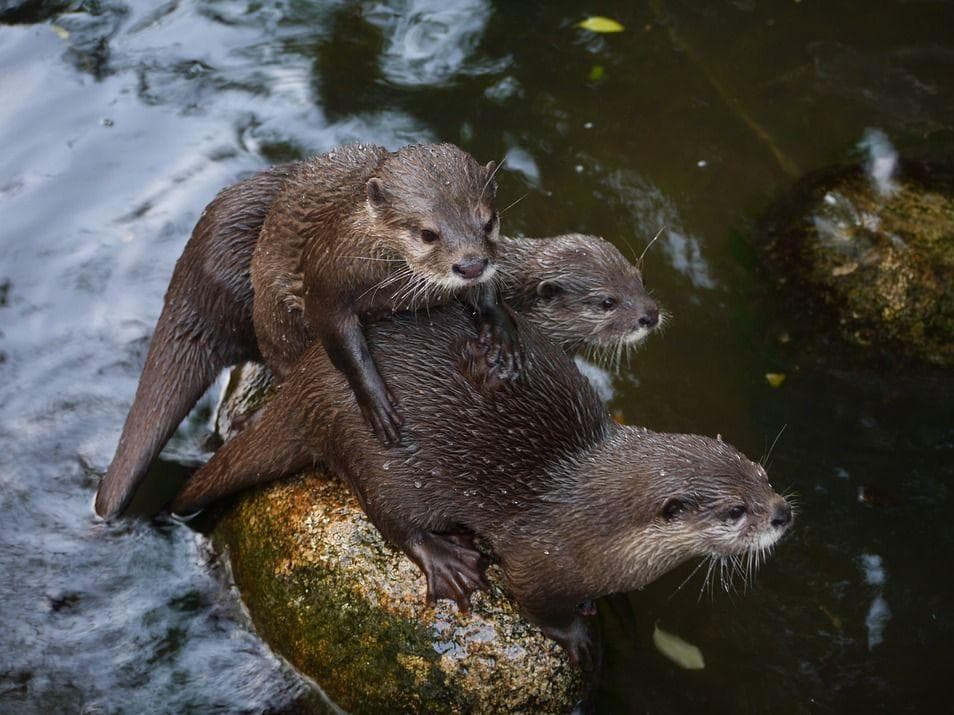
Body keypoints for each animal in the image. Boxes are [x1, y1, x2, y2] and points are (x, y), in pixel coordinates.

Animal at [171, 304, 788, 668]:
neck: (598, 521)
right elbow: (536, 601)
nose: (782, 514)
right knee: (391, 515)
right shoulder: (542, 557)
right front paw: (582, 639)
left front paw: (617, 611)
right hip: (373, 450)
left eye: (764, 476)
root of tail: (307, 381)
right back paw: (450, 561)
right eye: (736, 511)